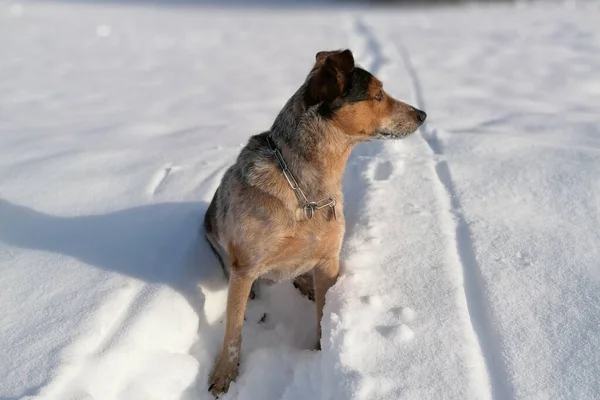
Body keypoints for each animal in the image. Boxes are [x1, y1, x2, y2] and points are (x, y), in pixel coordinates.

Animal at [204, 48, 424, 396]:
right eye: (378, 94)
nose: (422, 114)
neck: (306, 188)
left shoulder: (329, 259)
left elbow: (323, 312)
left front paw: (322, 348)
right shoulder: (245, 268)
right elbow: (234, 331)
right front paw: (224, 373)